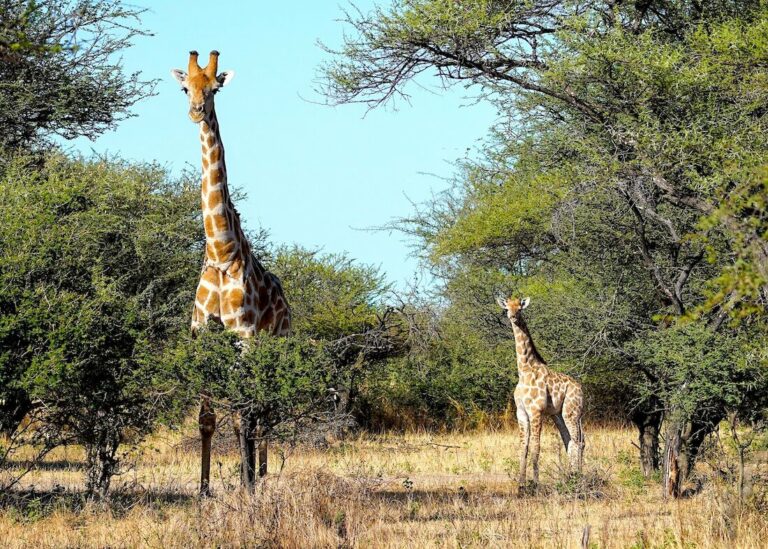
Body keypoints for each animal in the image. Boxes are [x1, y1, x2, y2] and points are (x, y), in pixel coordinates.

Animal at [171, 51, 291, 495]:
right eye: (185, 87)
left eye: (214, 88)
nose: (195, 111)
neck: (222, 251)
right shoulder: (202, 333)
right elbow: (207, 419)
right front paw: (204, 488)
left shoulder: (245, 335)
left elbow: (244, 413)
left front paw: (247, 484)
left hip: (278, 343)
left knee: (265, 409)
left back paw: (260, 476)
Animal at [496, 296, 584, 493]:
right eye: (507, 308)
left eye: (520, 308)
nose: (513, 317)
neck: (524, 370)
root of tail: (581, 390)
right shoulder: (521, 412)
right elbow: (524, 447)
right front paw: (521, 484)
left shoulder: (536, 411)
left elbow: (536, 446)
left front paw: (535, 483)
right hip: (558, 415)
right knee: (571, 441)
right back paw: (571, 476)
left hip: (571, 412)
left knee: (578, 441)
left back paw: (578, 479)